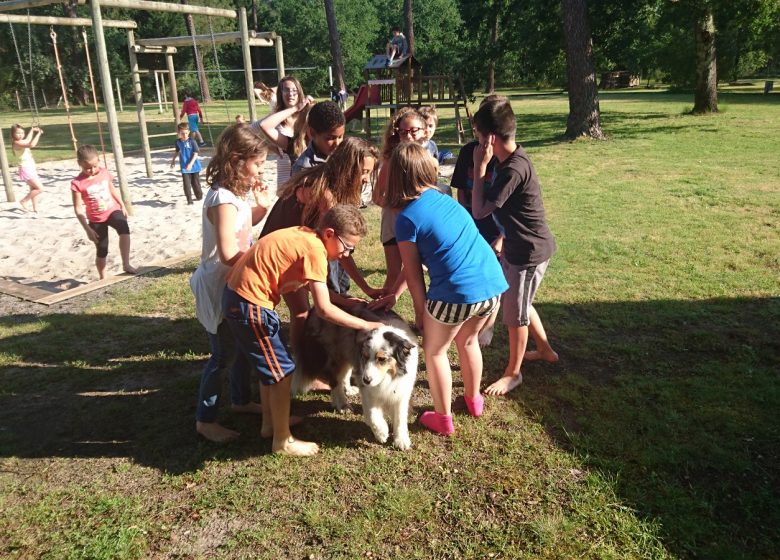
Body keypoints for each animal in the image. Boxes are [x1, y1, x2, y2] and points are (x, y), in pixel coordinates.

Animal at [298, 304, 420, 448]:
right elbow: (372, 414)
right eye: (365, 357)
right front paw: (381, 432)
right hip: (337, 356)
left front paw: (401, 440)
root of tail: (313, 308)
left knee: (344, 375)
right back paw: (342, 404)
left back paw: (349, 389)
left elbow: (401, 416)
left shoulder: (402, 389)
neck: (389, 376)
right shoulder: (367, 389)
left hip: (348, 351)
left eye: (382, 359)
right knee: (335, 382)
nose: (366, 380)